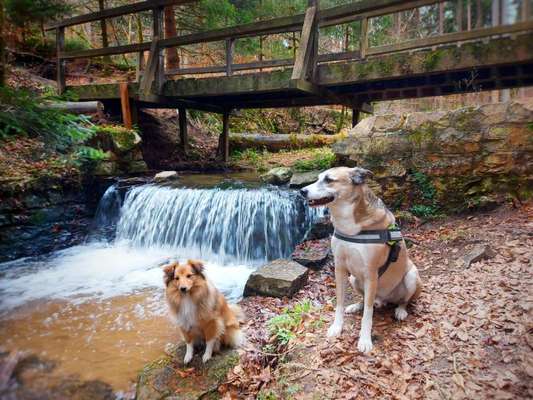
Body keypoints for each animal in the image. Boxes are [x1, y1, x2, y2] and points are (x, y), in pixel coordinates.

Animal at [302, 166, 422, 354]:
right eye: (318, 178)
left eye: (329, 180)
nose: (302, 191)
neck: (349, 227)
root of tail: (384, 299)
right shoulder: (340, 268)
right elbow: (340, 303)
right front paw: (337, 327)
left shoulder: (371, 273)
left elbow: (368, 314)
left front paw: (365, 340)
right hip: (354, 278)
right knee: (366, 299)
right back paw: (356, 305)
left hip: (411, 276)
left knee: (403, 301)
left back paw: (401, 311)